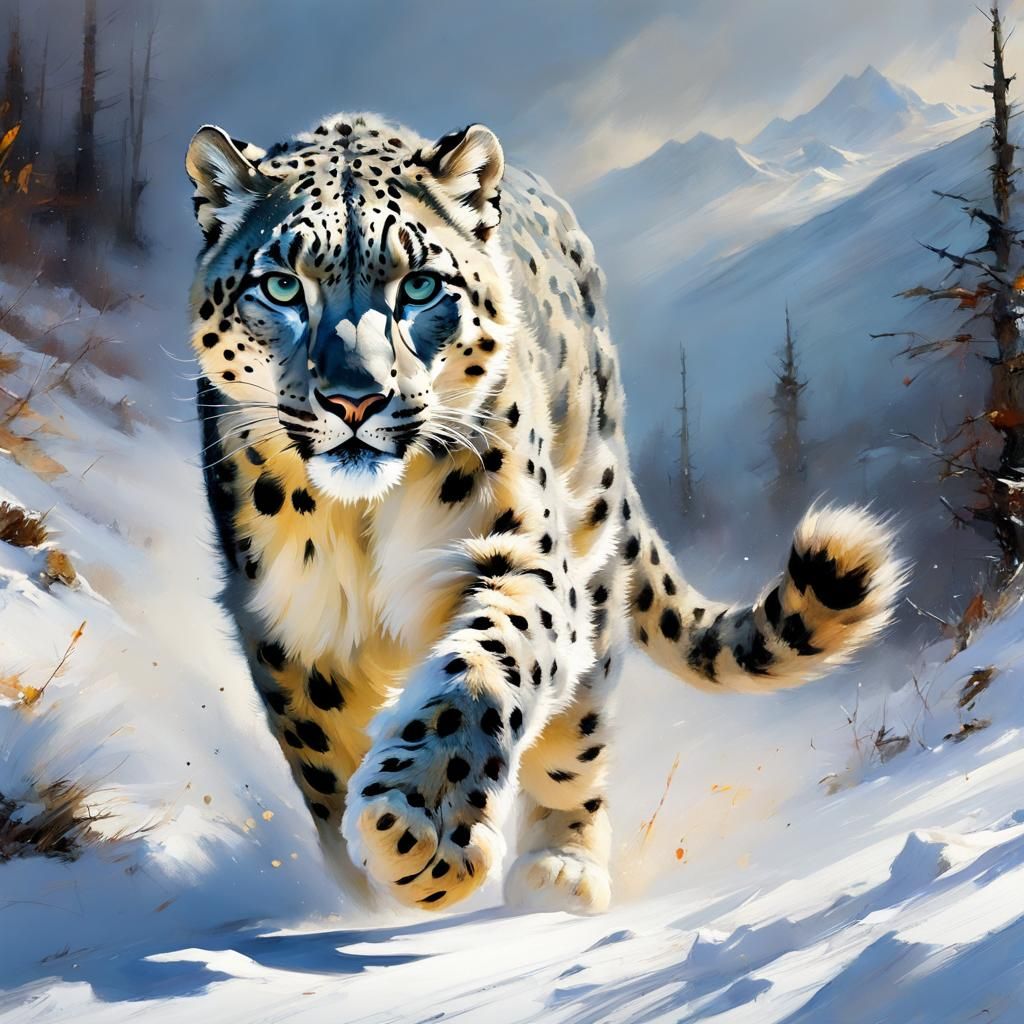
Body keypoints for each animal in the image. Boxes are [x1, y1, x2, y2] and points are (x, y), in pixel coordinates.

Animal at [185, 111, 905, 915]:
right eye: (281, 285)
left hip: (589, 556)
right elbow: (320, 746)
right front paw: (375, 883)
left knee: (575, 730)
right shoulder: (287, 612)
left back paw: (560, 866)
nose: (354, 399)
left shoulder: (520, 552)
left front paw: (420, 831)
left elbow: (480, 672)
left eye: (420, 284)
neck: (362, 521)